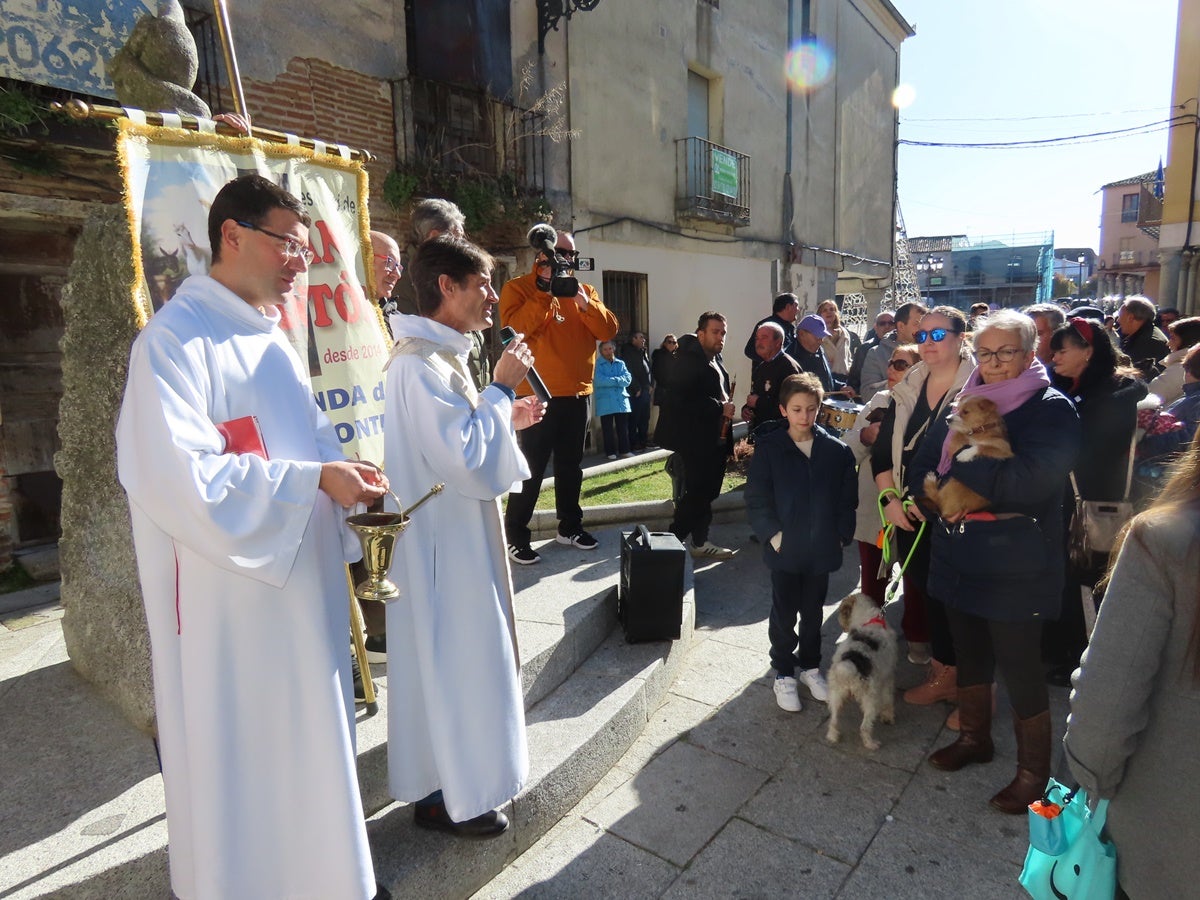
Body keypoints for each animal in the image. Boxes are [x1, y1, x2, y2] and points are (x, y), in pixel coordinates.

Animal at [830, 592, 897, 753]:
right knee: (865, 727)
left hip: (835, 694)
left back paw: (833, 737)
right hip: (871, 700)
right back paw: (871, 744)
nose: (841, 625)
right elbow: (888, 699)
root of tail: (850, 666)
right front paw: (888, 716)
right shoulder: (888, 677)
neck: (869, 619)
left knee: (833, 721)